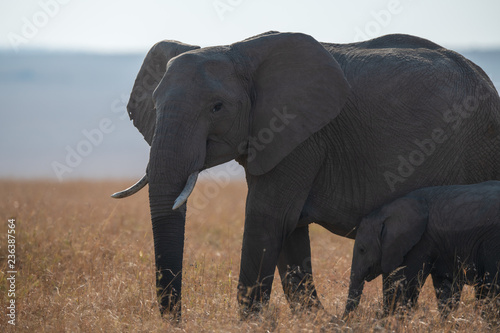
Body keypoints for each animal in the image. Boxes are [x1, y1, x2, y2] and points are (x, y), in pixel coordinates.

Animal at [344, 180, 500, 318]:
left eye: (362, 250)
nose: (347, 320)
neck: (386, 213)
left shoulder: (419, 244)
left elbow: (405, 286)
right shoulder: (442, 246)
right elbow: (445, 287)